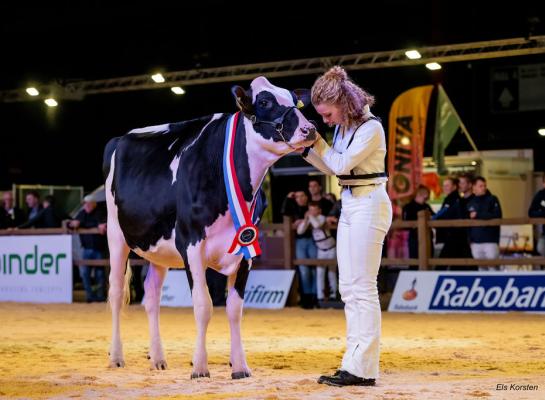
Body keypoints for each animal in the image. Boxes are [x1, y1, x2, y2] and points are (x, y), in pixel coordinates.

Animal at [102, 77, 314, 378]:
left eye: (296, 102)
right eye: (264, 102)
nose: (310, 129)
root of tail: (119, 139)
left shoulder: (246, 249)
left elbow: (234, 309)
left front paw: (240, 366)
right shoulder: (190, 244)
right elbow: (204, 305)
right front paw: (200, 367)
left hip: (159, 249)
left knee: (151, 296)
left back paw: (158, 358)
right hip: (116, 236)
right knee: (117, 292)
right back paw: (117, 356)